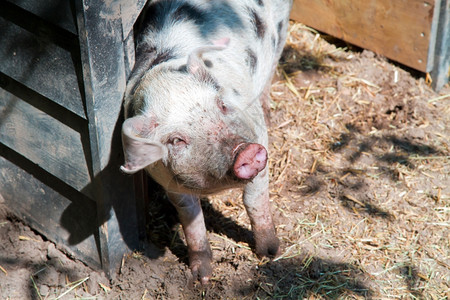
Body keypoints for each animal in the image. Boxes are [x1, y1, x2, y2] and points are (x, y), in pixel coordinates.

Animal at [121, 0, 294, 284]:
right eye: (176, 140)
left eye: (222, 104)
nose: (245, 152)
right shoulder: (167, 180)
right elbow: (190, 218)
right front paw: (202, 277)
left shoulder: (258, 135)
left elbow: (255, 199)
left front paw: (270, 253)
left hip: (281, 26)